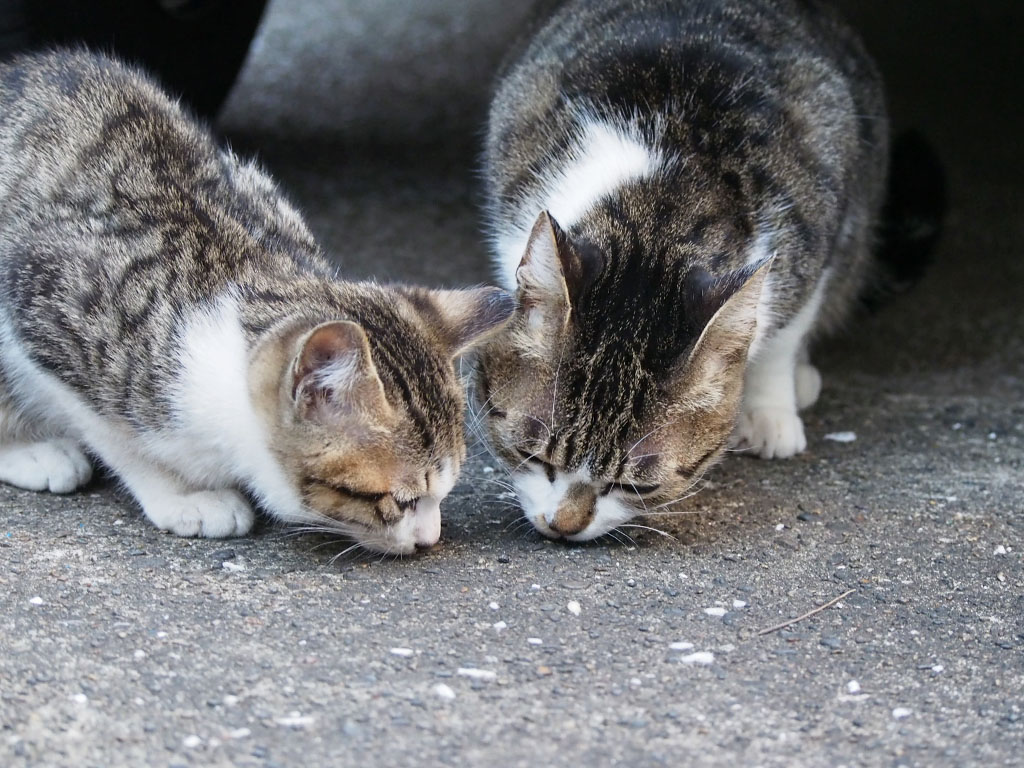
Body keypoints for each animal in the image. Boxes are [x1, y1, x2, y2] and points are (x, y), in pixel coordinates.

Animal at [0, 48, 512, 552]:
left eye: (445, 492)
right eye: (400, 500)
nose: (431, 538)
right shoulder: (45, 306)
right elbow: (116, 437)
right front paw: (184, 493)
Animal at [477, 0, 888, 540]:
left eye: (635, 485)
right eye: (532, 456)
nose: (563, 526)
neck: (657, 212)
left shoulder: (818, 226)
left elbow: (786, 328)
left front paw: (770, 409)